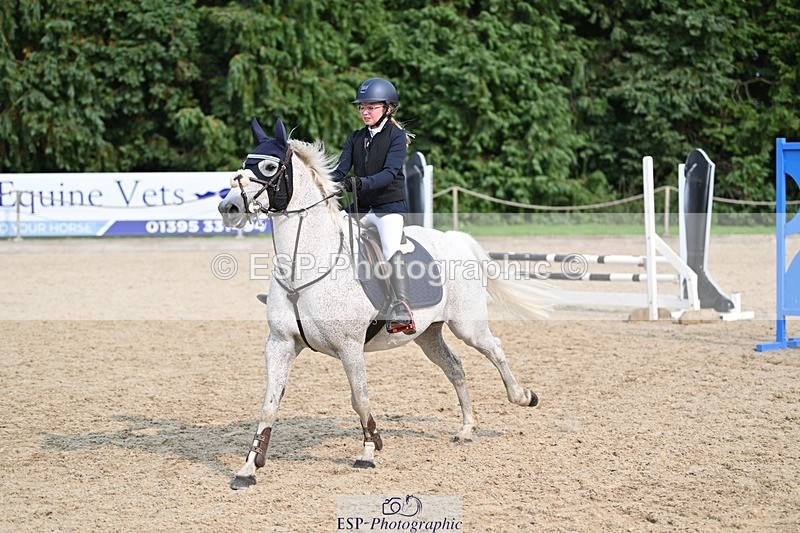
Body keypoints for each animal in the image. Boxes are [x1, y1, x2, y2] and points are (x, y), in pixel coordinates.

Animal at [218, 118, 552, 490]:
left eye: (268, 167)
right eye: (244, 165)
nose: (228, 209)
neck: (305, 266)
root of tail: (456, 239)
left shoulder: (350, 347)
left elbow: (360, 397)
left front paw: (368, 451)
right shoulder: (280, 344)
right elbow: (269, 404)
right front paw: (248, 468)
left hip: (468, 325)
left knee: (494, 348)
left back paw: (522, 396)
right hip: (427, 334)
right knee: (455, 367)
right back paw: (466, 428)